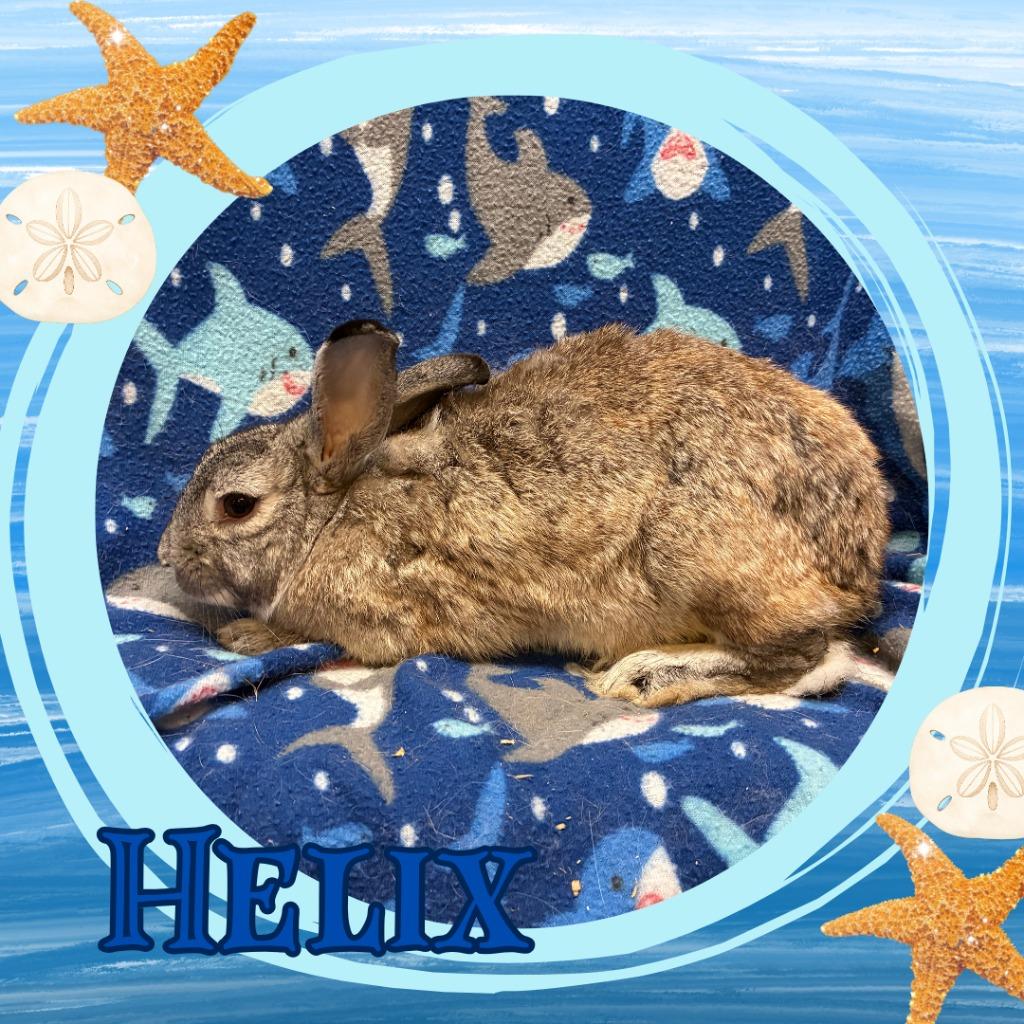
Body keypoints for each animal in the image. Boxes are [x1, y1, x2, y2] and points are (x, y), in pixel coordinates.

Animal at [157, 318, 892, 708]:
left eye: (237, 506)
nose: (166, 557)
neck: (329, 517)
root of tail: (858, 557)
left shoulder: (383, 619)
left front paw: (247, 636)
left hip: (700, 559)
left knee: (803, 657)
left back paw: (644, 674)